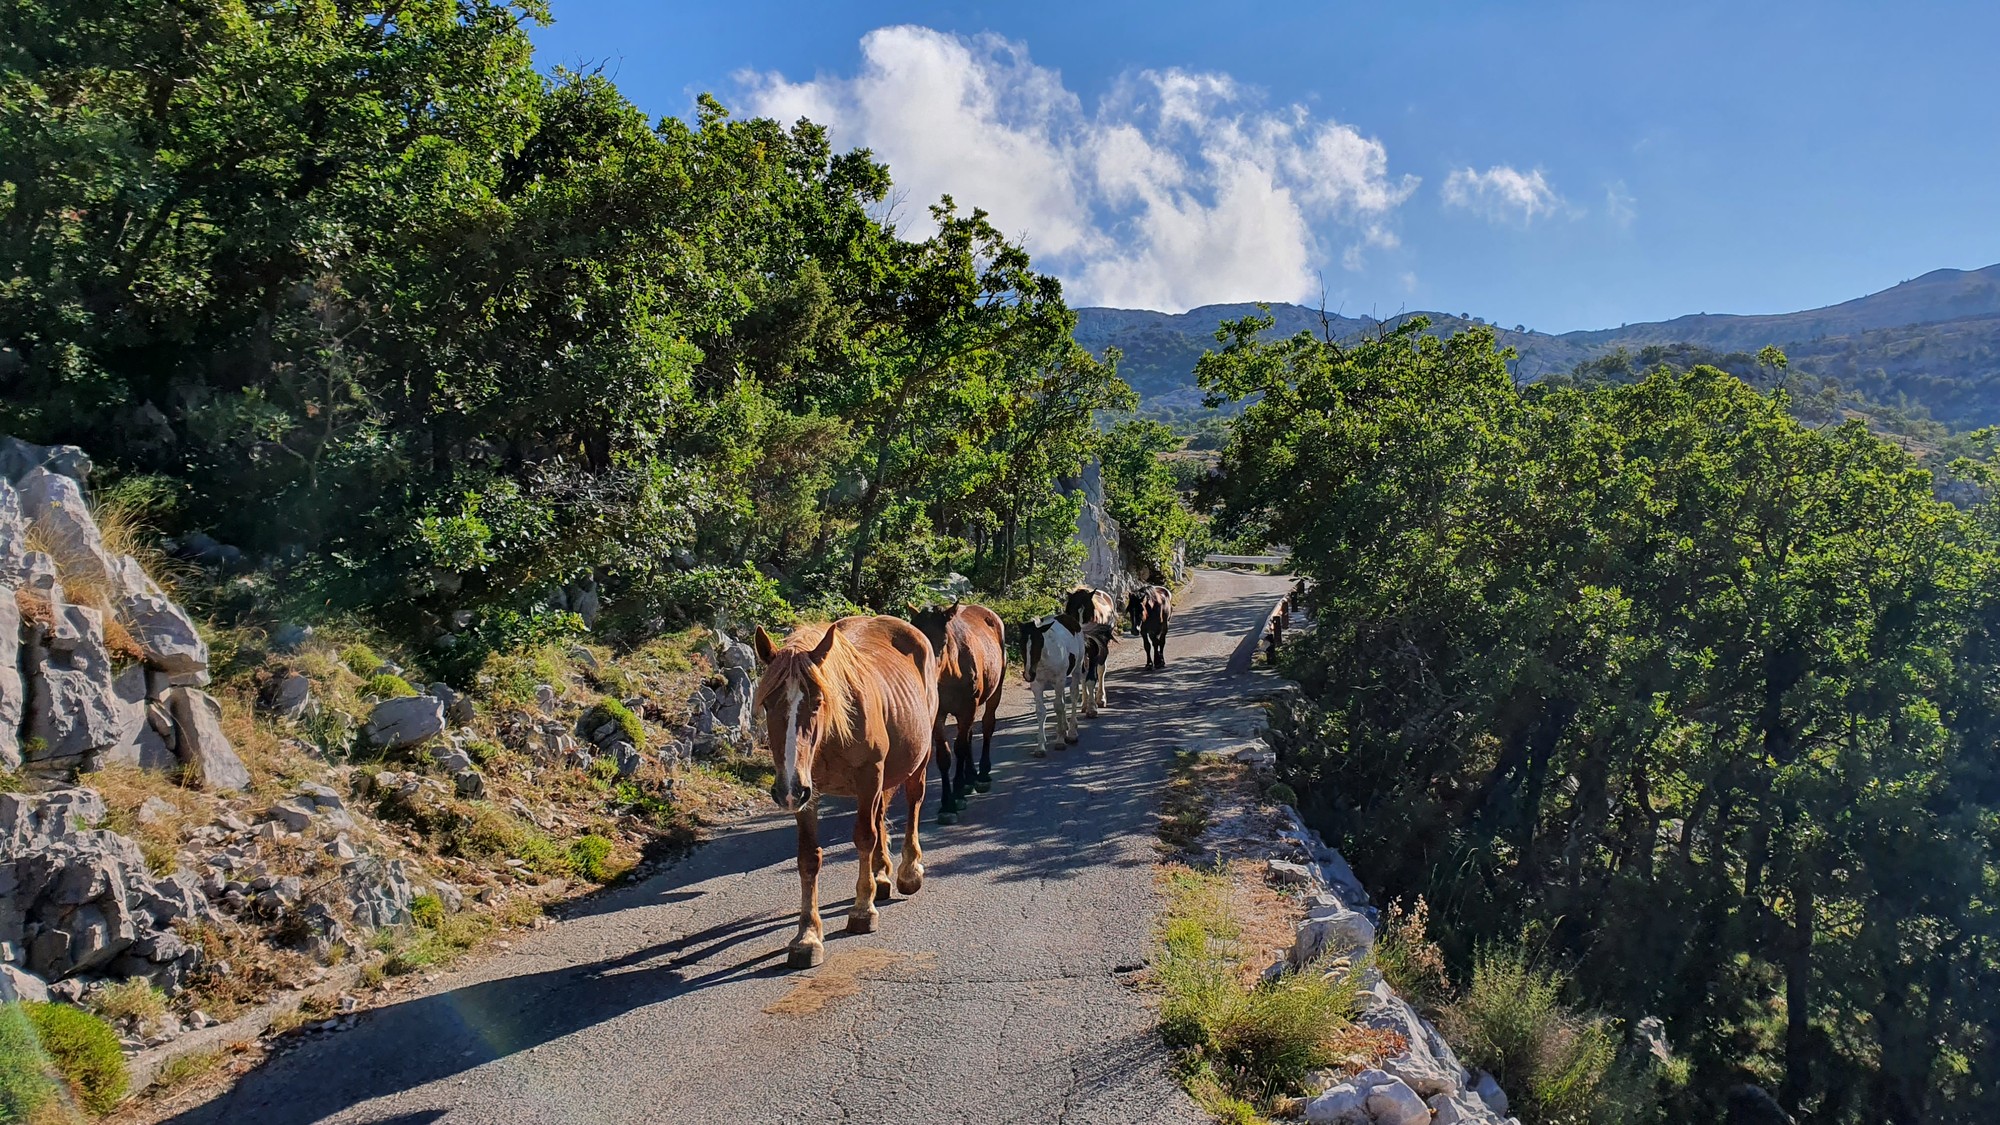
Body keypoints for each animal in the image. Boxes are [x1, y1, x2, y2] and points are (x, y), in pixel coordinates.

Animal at [752, 612, 940, 964]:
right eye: (768, 703)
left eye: (818, 701)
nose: (786, 790)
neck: (828, 737)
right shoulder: (807, 792)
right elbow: (808, 858)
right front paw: (807, 936)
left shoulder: (868, 778)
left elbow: (864, 837)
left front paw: (863, 910)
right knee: (881, 815)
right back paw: (881, 875)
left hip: (917, 760)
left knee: (913, 802)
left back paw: (908, 872)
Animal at [912, 596, 1008, 824]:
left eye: (943, 642)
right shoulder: (938, 715)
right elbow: (945, 756)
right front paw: (947, 804)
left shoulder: (967, 708)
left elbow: (960, 748)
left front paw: (957, 793)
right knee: (970, 735)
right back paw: (970, 777)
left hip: (994, 692)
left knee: (987, 727)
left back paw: (981, 775)